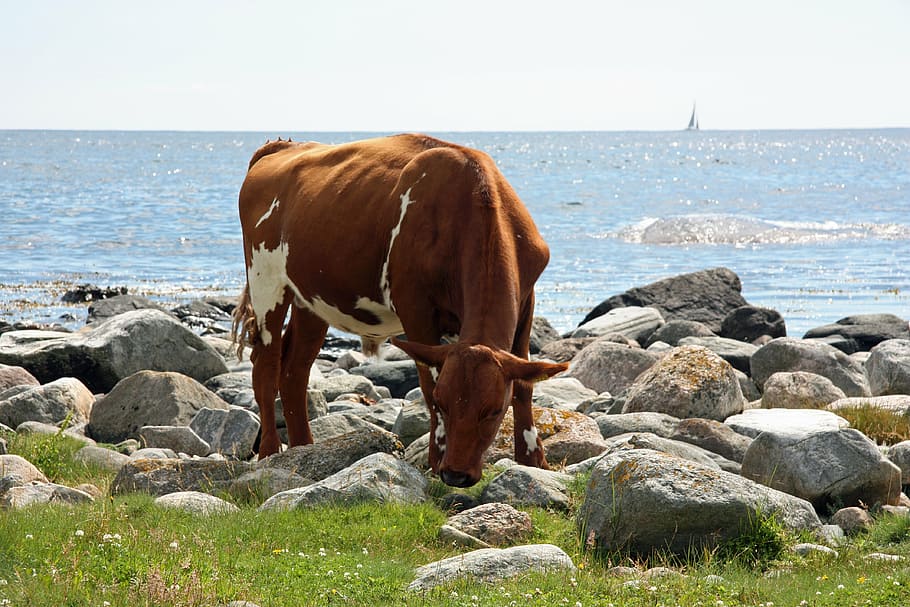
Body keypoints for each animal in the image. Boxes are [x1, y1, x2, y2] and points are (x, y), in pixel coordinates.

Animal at [231, 134, 567, 487]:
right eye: (443, 405)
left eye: (492, 410)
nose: (456, 474)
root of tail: (283, 146)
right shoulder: (414, 306)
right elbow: (429, 382)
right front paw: (435, 459)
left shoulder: (527, 299)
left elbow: (525, 385)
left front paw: (533, 460)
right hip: (265, 279)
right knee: (266, 365)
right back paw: (270, 452)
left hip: (310, 298)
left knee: (294, 370)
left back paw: (304, 450)